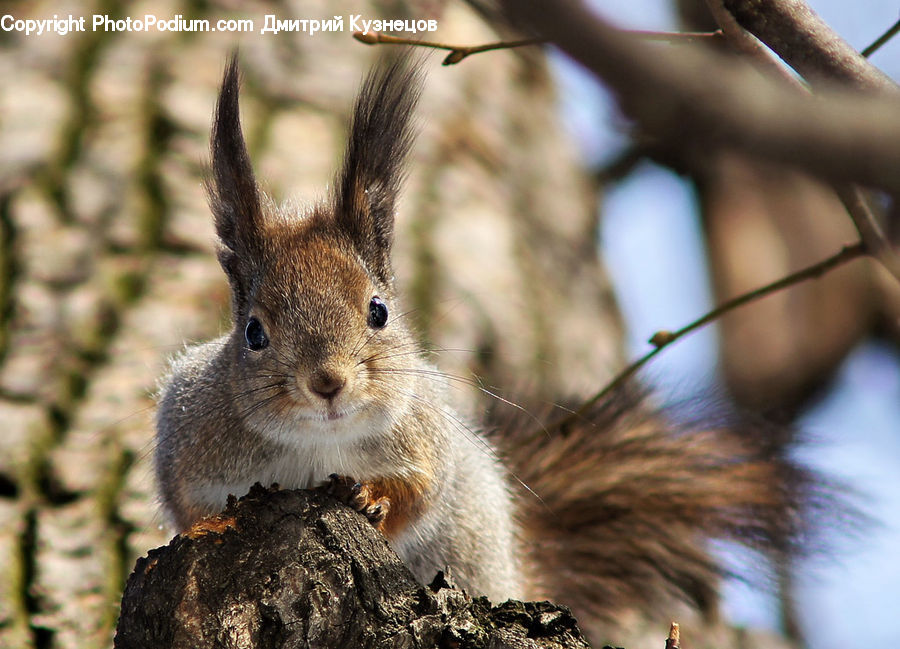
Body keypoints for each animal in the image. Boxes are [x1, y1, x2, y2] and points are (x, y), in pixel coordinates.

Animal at [155, 53, 812, 636]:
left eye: (379, 311)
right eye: (254, 332)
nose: (328, 383)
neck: (319, 445)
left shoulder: (428, 442)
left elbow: (420, 496)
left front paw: (370, 497)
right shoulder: (186, 446)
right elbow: (189, 513)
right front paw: (214, 522)